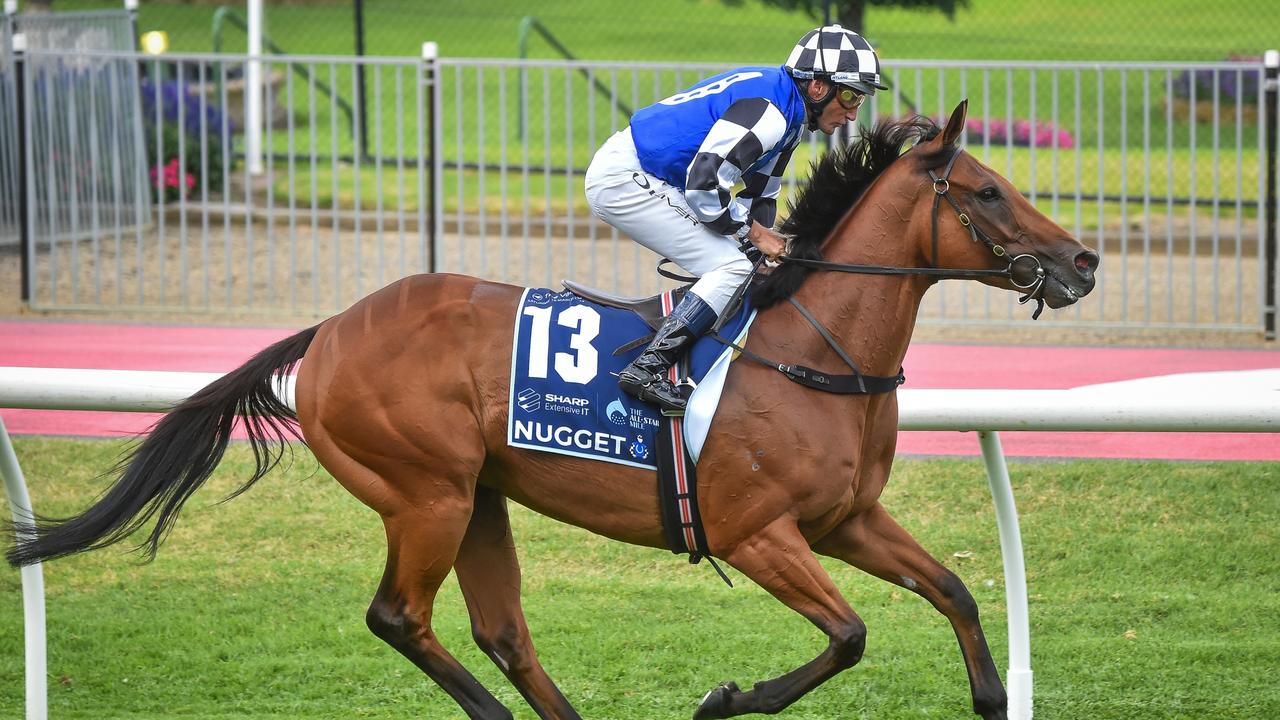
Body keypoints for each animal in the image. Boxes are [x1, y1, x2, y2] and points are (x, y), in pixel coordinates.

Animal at [5, 102, 1095, 717]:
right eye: (986, 193)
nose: (1082, 260)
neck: (809, 351)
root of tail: (327, 332)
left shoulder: (845, 519)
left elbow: (954, 593)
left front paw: (992, 694)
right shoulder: (757, 533)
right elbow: (849, 637)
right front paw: (723, 697)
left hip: (479, 497)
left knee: (502, 631)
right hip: (426, 494)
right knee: (400, 616)